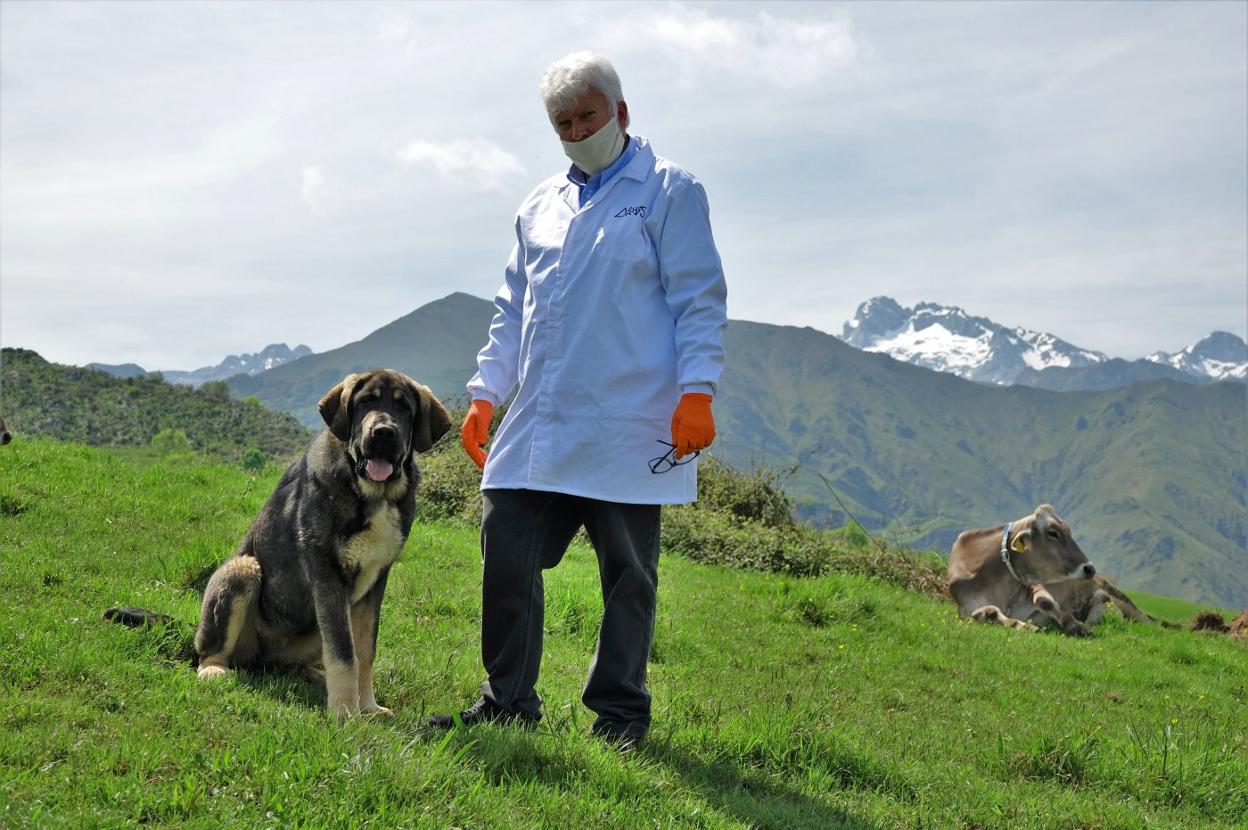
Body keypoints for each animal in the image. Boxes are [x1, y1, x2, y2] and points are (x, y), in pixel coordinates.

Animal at [194, 366, 449, 713]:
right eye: (365, 402)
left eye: (404, 407)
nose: (384, 433)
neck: (372, 493)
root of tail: (261, 657)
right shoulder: (328, 574)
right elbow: (344, 654)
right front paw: (345, 713)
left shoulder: (374, 582)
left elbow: (364, 652)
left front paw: (367, 708)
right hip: (242, 569)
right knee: (212, 650)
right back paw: (214, 669)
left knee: (294, 663)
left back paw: (314, 675)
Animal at [948, 504, 1143, 634]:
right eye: (1053, 533)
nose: (1089, 568)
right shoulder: (964, 609)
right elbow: (985, 613)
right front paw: (1022, 624)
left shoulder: (1034, 584)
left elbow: (1046, 602)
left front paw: (1073, 625)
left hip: (1107, 597)